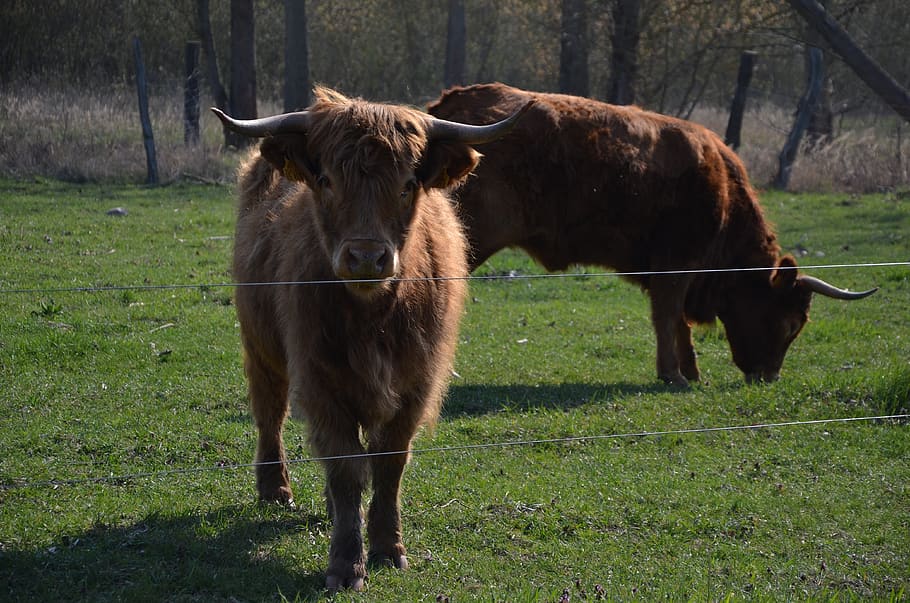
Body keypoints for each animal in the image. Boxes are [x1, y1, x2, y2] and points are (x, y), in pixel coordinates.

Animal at [212, 87, 530, 590]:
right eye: (326, 180)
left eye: (407, 184)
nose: (365, 257)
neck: (373, 317)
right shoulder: (320, 380)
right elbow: (346, 467)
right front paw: (346, 563)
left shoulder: (416, 384)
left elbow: (387, 464)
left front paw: (387, 547)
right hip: (261, 346)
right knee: (270, 412)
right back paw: (275, 488)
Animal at [428, 83, 876, 386]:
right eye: (791, 323)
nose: (768, 377)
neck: (723, 191)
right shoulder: (676, 266)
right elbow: (668, 315)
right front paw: (673, 374)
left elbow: (679, 323)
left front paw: (691, 371)